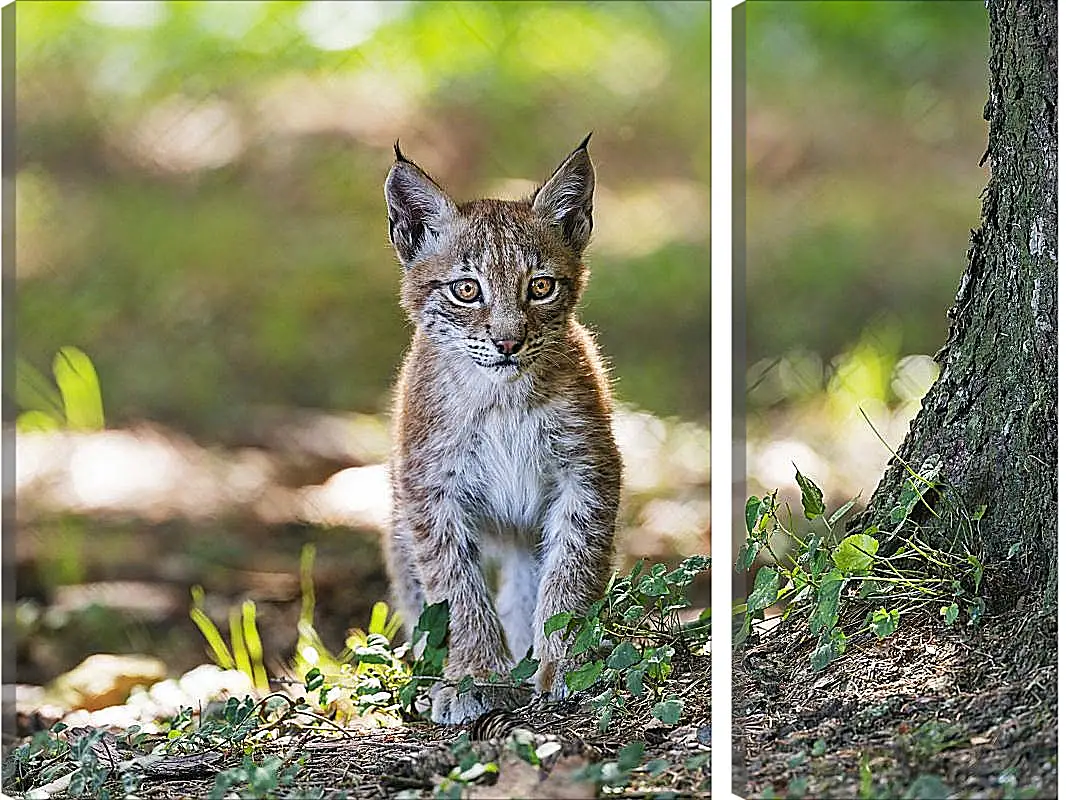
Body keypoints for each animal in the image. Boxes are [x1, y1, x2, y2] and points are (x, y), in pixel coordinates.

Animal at [383, 137, 622, 725]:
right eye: (467, 290)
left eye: (540, 287)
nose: (509, 342)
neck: (502, 398)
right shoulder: (430, 491)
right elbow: (455, 590)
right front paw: (476, 677)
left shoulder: (589, 471)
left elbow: (571, 575)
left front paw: (566, 665)